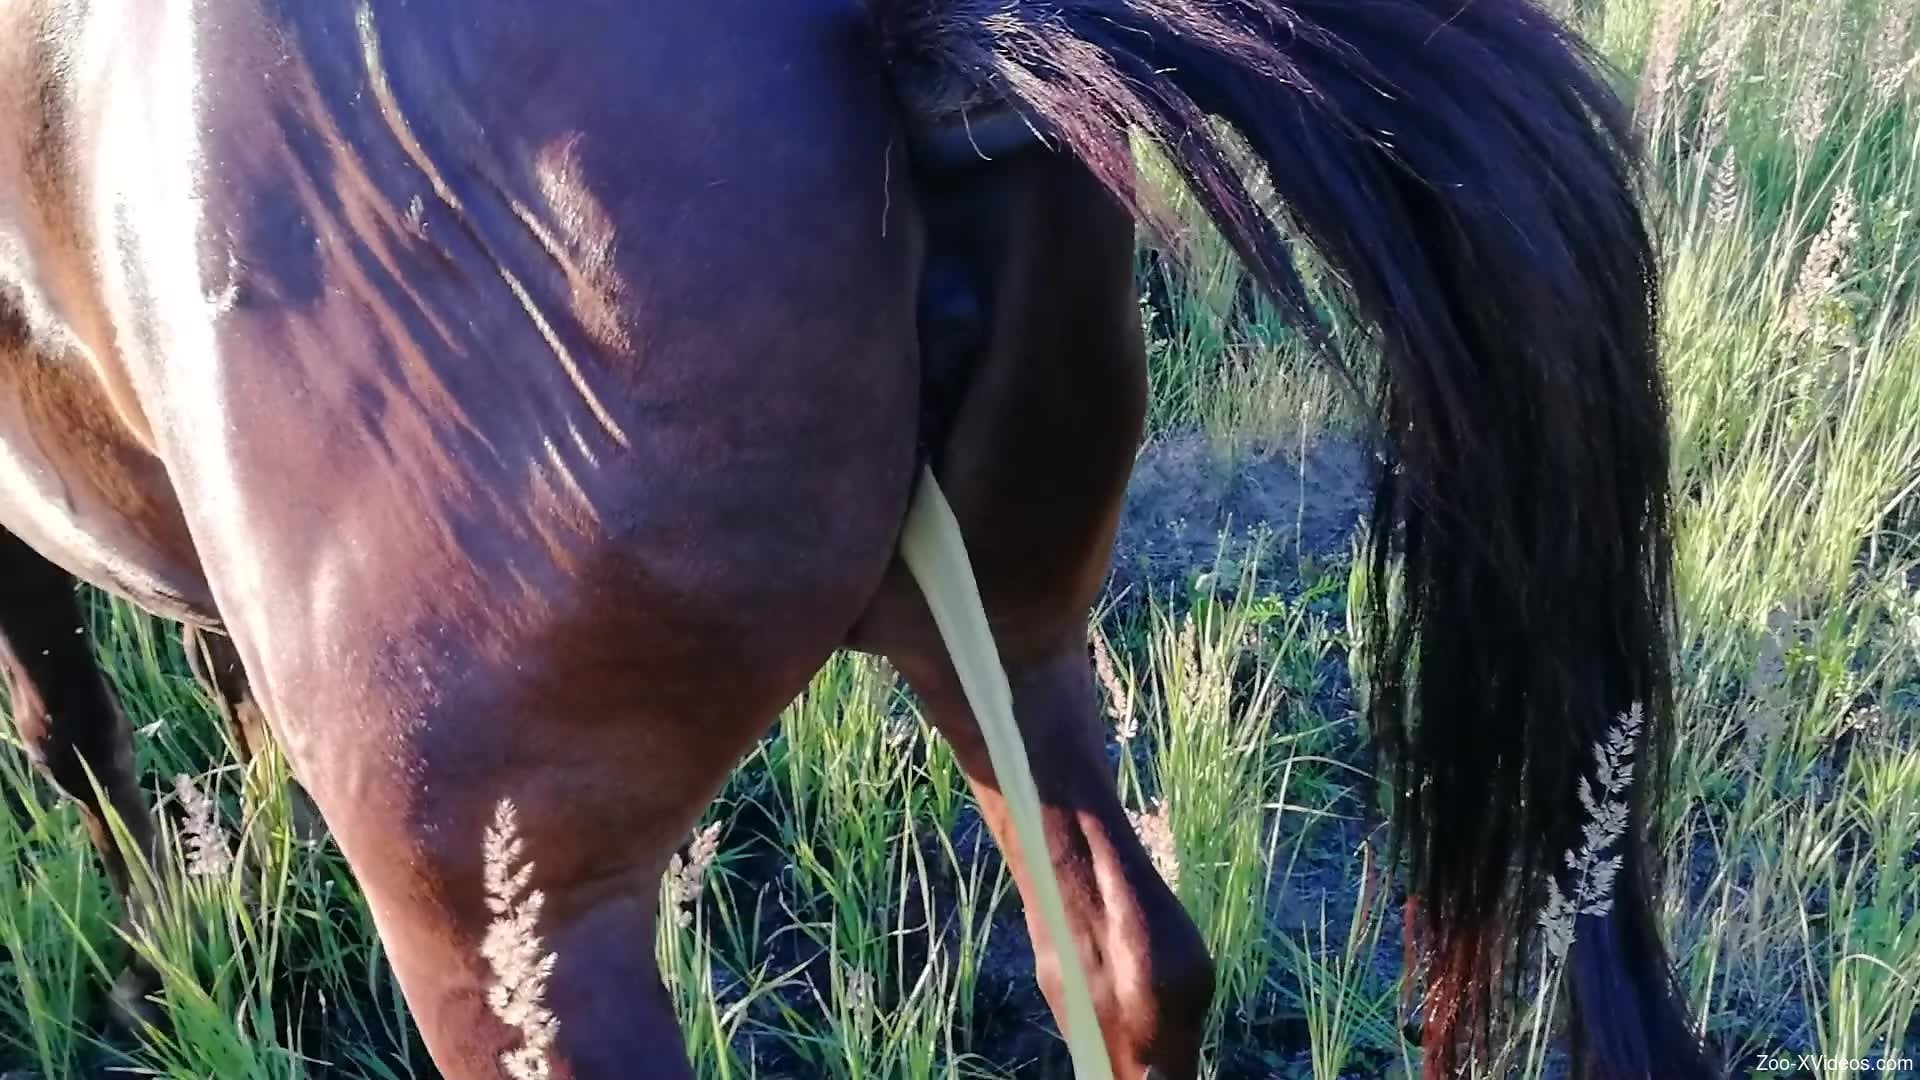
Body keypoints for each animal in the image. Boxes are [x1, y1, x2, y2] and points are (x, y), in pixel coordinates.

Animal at [0, 0, 1718, 1076]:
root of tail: (892, 34)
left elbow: (69, 723)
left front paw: (154, 955)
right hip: (1004, 633)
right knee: (1128, 962)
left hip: (513, 918)